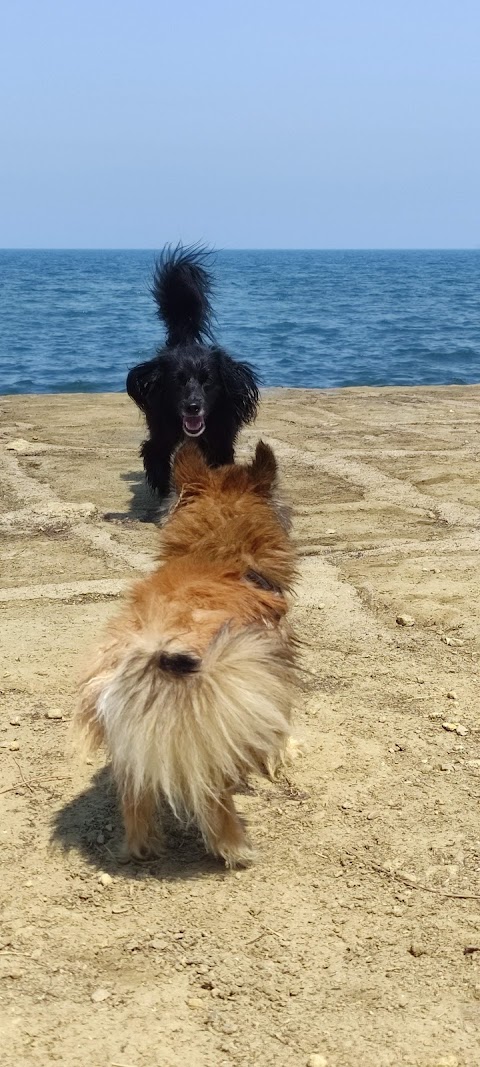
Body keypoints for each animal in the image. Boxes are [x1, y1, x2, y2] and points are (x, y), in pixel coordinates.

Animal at [75, 441, 296, 866]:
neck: (218, 557)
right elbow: (278, 726)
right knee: (212, 800)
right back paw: (236, 848)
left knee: (135, 797)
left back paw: (142, 848)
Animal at [124, 247, 259, 497]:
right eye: (177, 381)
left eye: (208, 381)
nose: (193, 407)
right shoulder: (162, 427)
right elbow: (154, 453)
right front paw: (164, 488)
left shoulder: (222, 436)